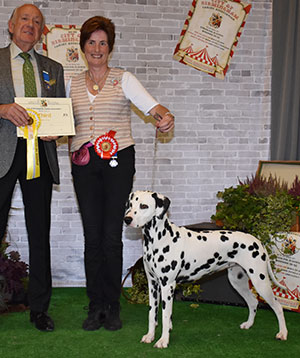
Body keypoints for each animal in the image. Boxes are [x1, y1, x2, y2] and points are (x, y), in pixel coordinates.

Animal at [123, 192, 288, 348]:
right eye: (130, 204)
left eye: (144, 206)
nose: (127, 219)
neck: (159, 238)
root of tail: (258, 241)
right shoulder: (153, 285)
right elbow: (152, 313)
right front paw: (150, 336)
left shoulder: (167, 285)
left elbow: (164, 315)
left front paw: (163, 341)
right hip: (238, 281)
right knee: (253, 302)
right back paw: (248, 324)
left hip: (260, 282)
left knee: (278, 306)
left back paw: (283, 333)